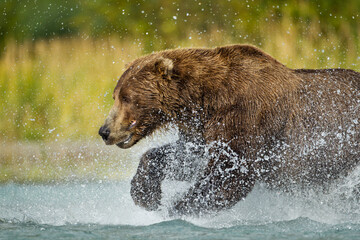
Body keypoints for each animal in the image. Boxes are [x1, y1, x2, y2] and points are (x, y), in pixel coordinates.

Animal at [98, 45, 360, 216]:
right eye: (115, 95)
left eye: (126, 97)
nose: (104, 130)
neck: (203, 99)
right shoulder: (202, 130)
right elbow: (182, 158)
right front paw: (146, 195)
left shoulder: (246, 118)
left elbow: (230, 173)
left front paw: (176, 209)